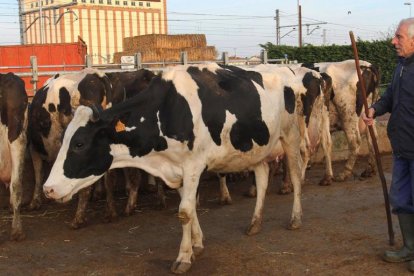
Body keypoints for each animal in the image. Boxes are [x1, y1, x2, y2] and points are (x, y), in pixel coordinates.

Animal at [28, 68, 155, 227]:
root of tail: (95, 74)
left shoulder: (35, 148)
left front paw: (36, 201)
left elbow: (38, 174)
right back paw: (115, 211)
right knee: (115, 176)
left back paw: (79, 218)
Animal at [43, 63, 306, 274]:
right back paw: (255, 223)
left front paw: (183, 258)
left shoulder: (193, 166)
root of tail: (285, 69)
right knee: (262, 177)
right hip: (256, 147)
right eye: (64, 139)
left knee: (295, 175)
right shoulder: (176, 170)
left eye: (79, 144)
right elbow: (190, 209)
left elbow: (185, 212)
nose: (48, 189)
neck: (166, 110)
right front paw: (197, 245)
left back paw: (295, 219)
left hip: (291, 137)